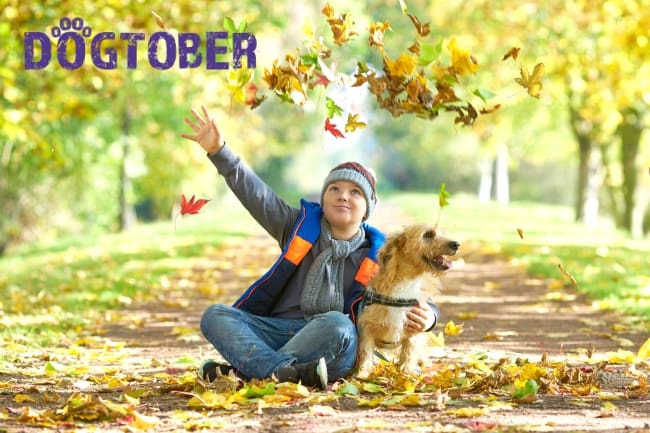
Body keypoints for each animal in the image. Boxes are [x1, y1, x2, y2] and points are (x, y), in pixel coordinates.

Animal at [356, 224, 458, 376]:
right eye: (428, 234)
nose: (457, 244)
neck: (409, 282)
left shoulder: (415, 329)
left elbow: (409, 352)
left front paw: (407, 372)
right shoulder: (367, 326)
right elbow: (366, 352)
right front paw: (363, 372)